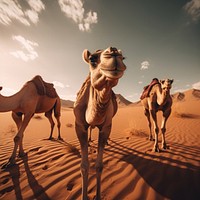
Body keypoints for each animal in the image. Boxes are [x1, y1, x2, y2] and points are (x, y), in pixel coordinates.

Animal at [73, 47, 126, 200]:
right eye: (92, 59)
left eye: (123, 58)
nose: (113, 52)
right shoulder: (79, 126)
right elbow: (84, 166)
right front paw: (84, 196)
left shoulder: (106, 126)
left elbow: (99, 166)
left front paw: (97, 196)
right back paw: (90, 140)